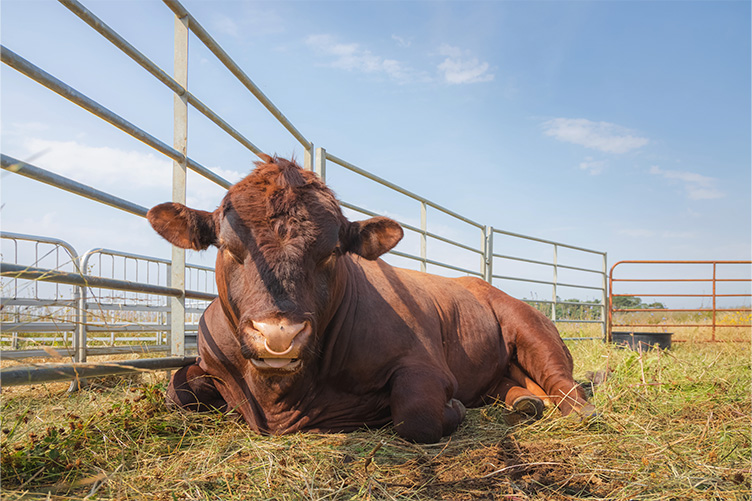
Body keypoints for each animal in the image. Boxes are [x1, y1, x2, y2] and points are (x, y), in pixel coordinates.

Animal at [147, 155, 594, 443]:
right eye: (228, 246)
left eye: (332, 252)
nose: (278, 335)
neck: (279, 400)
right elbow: (176, 391)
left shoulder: (425, 366)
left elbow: (416, 417)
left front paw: (454, 410)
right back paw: (524, 402)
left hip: (531, 329)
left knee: (563, 383)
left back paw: (578, 409)